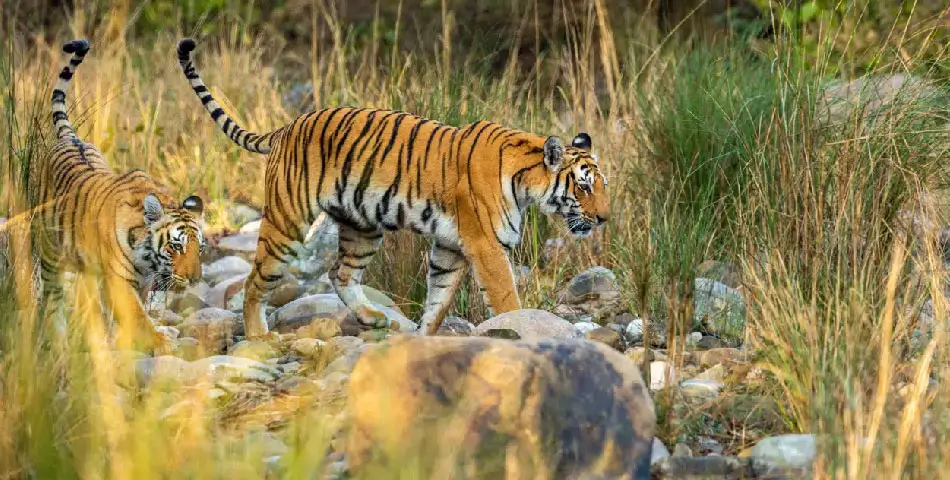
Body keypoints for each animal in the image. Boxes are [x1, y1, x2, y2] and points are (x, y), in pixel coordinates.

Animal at [7, 39, 207, 351]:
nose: (194, 279)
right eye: (176, 247)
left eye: (200, 249)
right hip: (50, 253)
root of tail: (70, 137)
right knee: (53, 298)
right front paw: (160, 342)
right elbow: (138, 316)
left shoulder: (138, 282)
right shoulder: (119, 282)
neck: (147, 258)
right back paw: (59, 340)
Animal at [176, 38, 610, 338]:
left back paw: (372, 318)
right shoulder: (486, 246)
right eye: (584, 187)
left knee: (340, 273)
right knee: (256, 281)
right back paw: (257, 336)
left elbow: (438, 299)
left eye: (601, 186)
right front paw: (520, 330)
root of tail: (286, 127)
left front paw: (422, 338)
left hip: (363, 226)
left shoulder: (451, 247)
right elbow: (505, 299)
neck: (525, 180)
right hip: (288, 222)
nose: (605, 218)